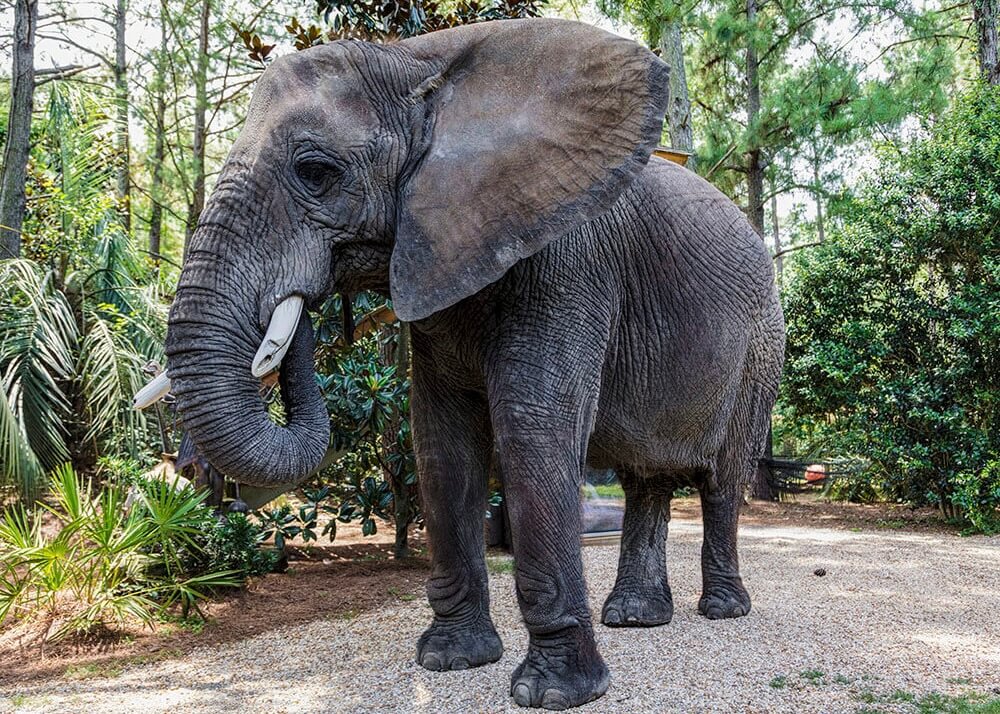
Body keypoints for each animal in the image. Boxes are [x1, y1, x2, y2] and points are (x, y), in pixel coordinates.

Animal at [162, 18, 780, 712]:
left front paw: (553, 693)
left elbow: (531, 428)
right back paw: (636, 619)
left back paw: (722, 610)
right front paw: (451, 661)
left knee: (723, 476)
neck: (415, 62)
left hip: (760, 348)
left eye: (315, 172)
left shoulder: (567, 258)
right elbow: (441, 439)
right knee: (646, 479)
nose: (299, 307)